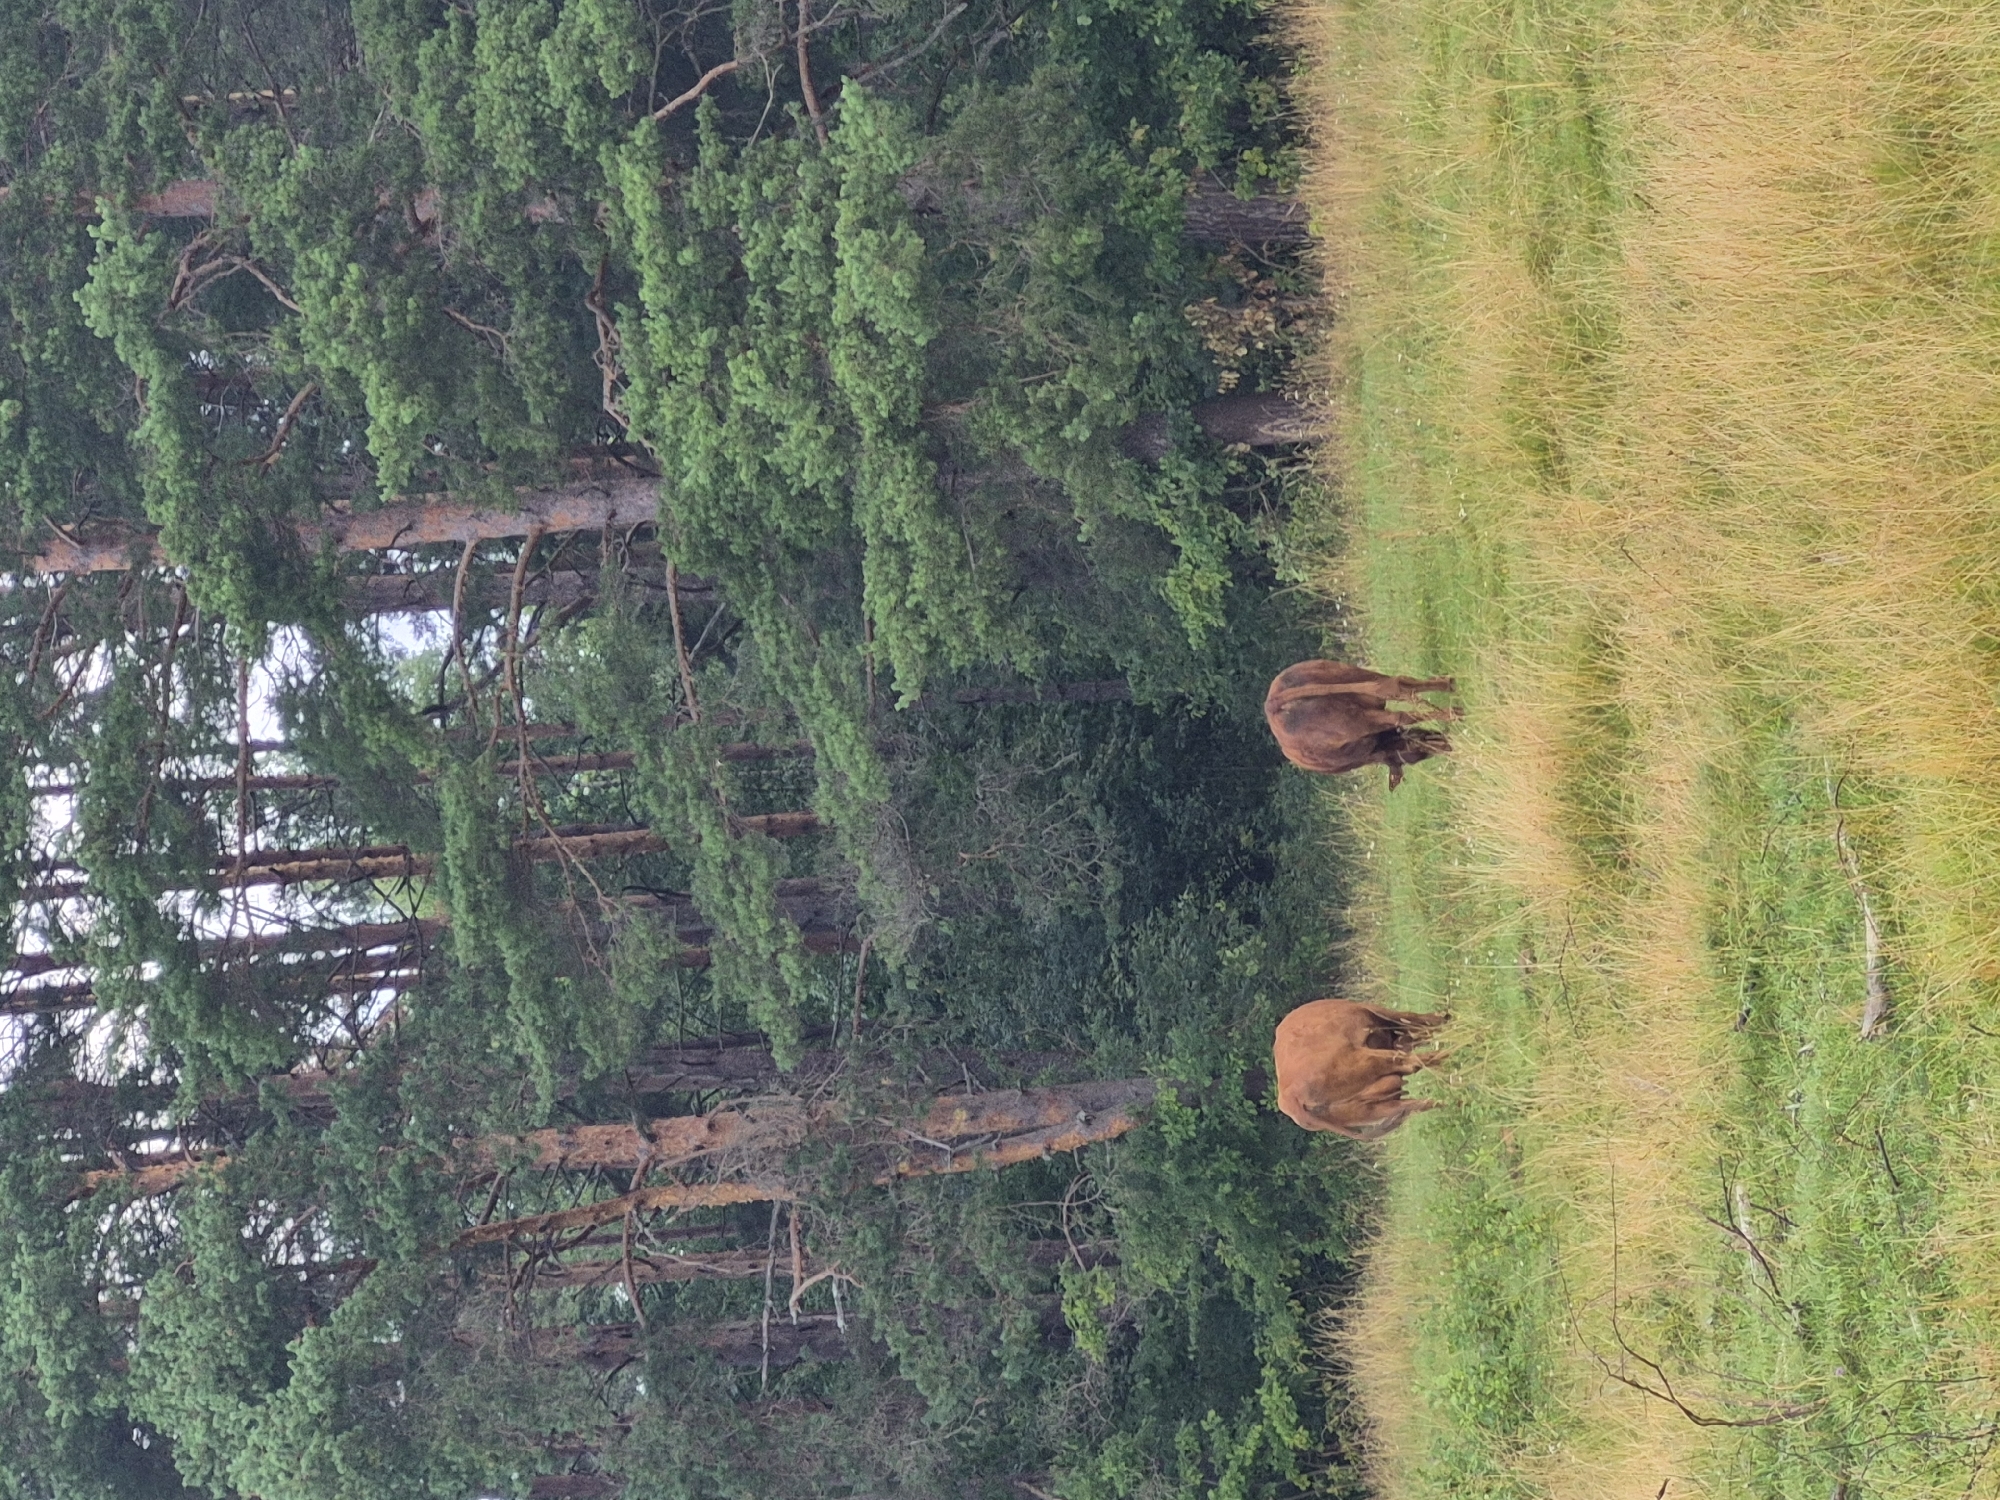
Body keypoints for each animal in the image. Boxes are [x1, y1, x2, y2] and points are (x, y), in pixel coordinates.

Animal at [1263, 660, 1457, 788]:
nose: (1445, 744)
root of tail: (1273, 703)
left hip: (1359, 704)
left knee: (1396, 700)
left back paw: (1453, 708)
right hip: (1357, 681)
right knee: (1395, 686)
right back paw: (1450, 692)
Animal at [1272, 998, 1450, 1140]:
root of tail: (1291, 1099)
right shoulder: (1381, 1014)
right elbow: (1417, 1019)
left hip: (1375, 1108)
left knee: (1420, 1104)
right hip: (1374, 1058)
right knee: (1417, 1061)